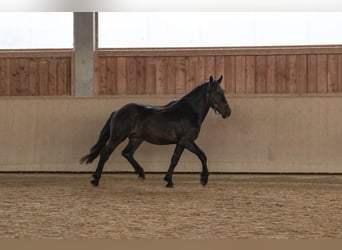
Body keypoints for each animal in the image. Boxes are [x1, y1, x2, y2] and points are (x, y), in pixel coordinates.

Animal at [79, 75, 231, 188]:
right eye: (217, 92)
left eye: (223, 92)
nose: (227, 112)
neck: (188, 112)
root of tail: (117, 111)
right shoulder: (187, 141)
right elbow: (202, 155)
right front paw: (203, 179)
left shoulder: (181, 142)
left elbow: (175, 159)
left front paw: (168, 180)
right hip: (117, 137)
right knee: (105, 153)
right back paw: (95, 179)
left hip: (136, 139)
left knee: (127, 153)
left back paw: (141, 173)